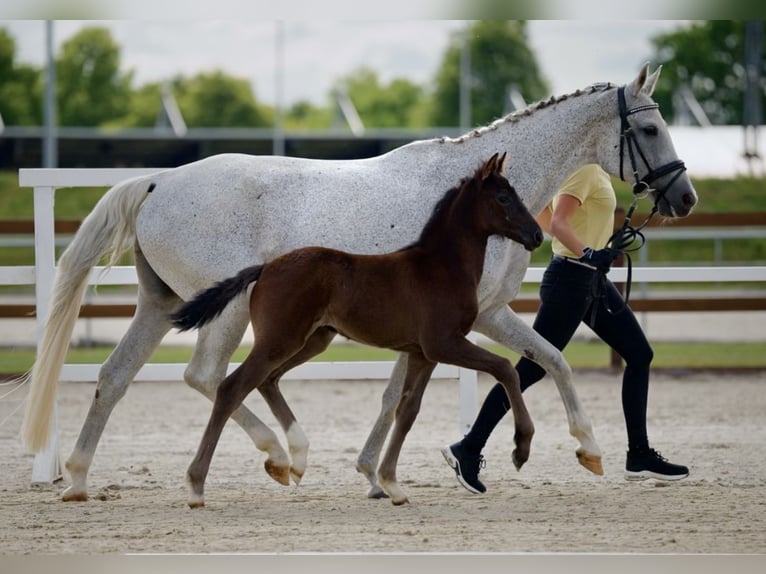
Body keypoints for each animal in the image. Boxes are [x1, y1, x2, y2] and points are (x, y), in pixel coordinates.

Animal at [170, 153, 544, 507]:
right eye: (503, 197)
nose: (537, 235)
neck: (442, 267)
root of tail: (265, 268)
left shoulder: (423, 353)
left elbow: (408, 410)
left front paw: (392, 485)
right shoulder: (445, 343)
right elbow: (505, 368)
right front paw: (521, 448)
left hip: (313, 340)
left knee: (268, 380)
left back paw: (296, 460)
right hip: (280, 340)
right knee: (232, 387)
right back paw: (197, 487)